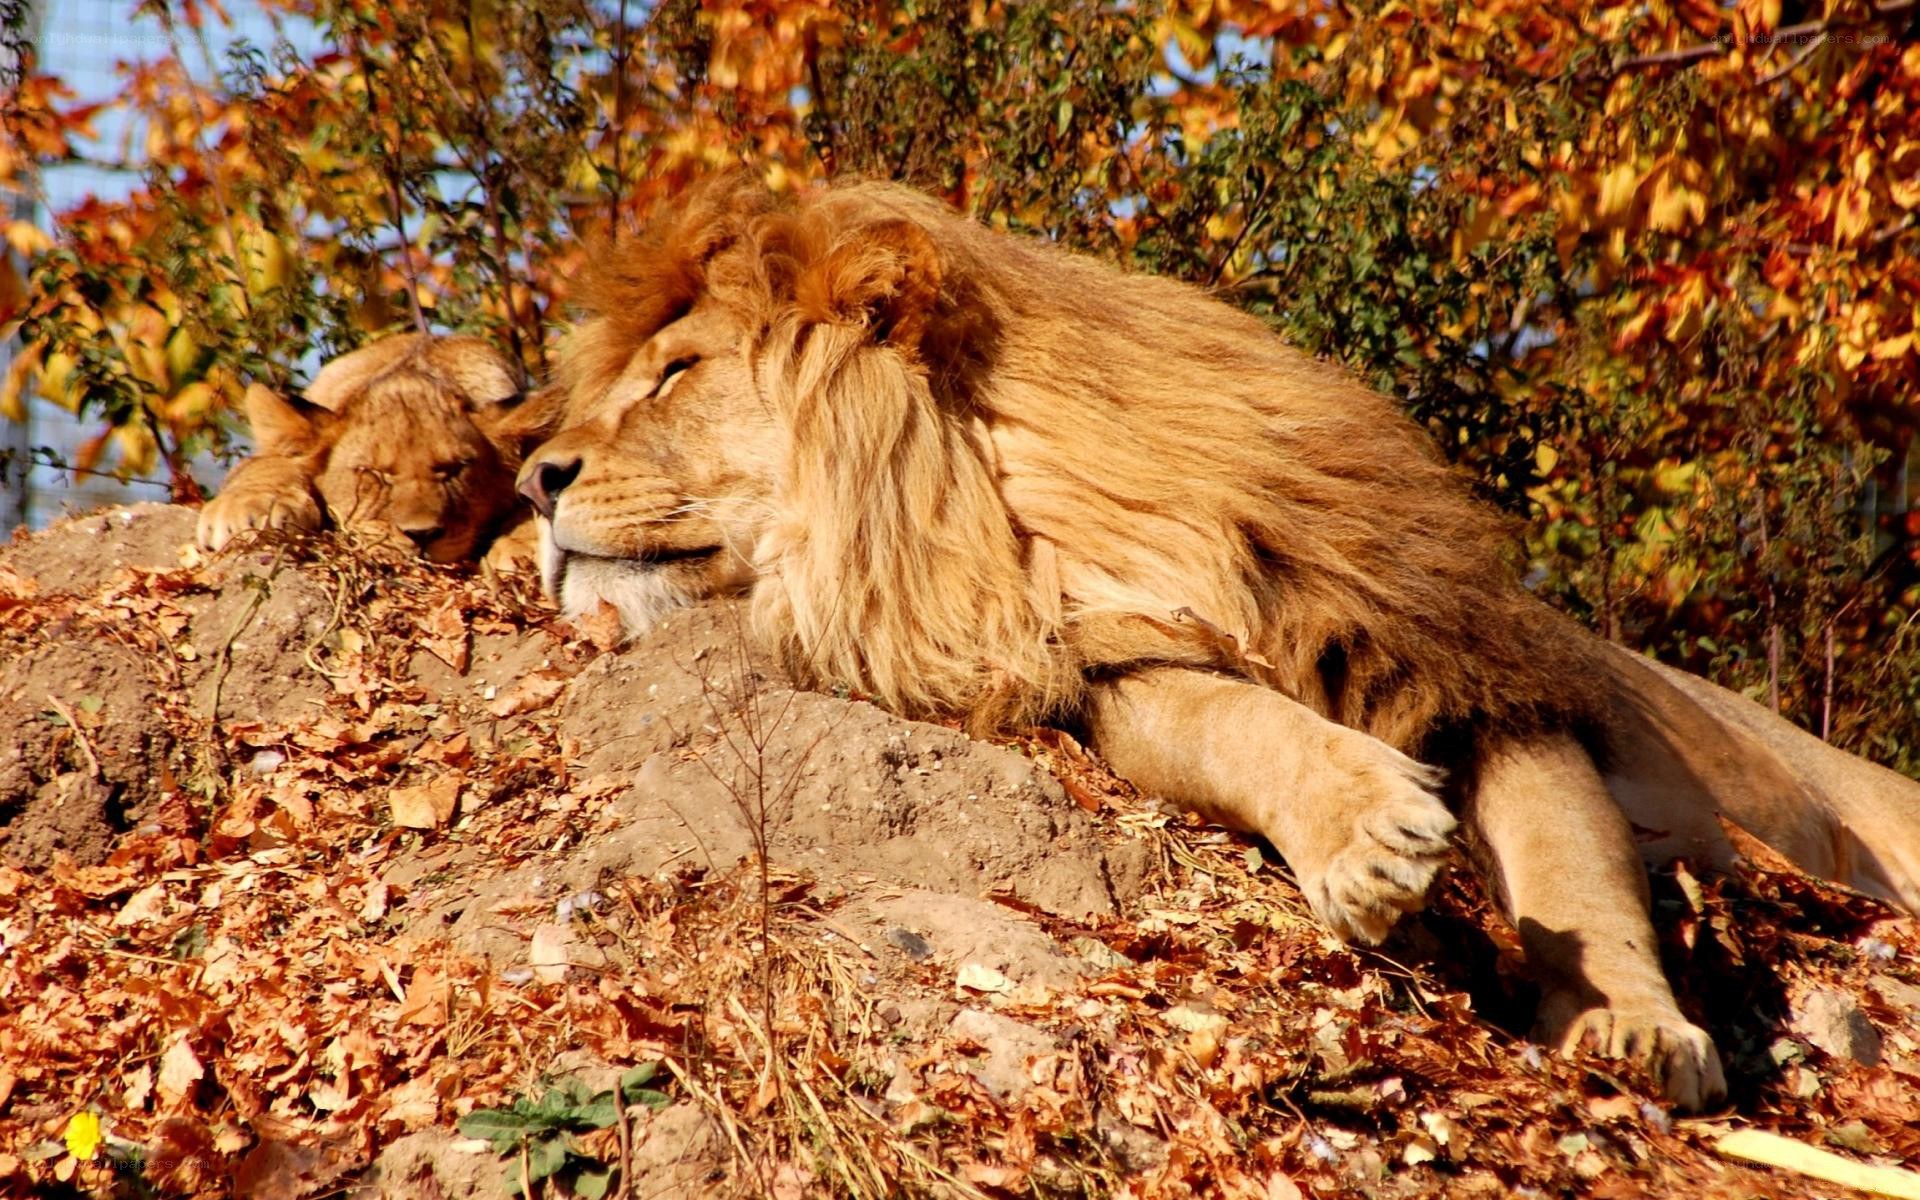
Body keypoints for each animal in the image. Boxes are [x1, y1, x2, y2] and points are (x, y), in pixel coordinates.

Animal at [195, 333, 552, 570]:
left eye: (453, 469)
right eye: (374, 474)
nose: (422, 535)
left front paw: (526, 547)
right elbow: (268, 465)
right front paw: (243, 511)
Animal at [514, 175, 1920, 1111]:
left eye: (678, 373)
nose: (535, 479)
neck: (1019, 512)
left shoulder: (1468, 668)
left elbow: (1576, 868)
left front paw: (1634, 1029)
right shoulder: (1103, 664)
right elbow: (1234, 720)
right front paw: (1372, 837)